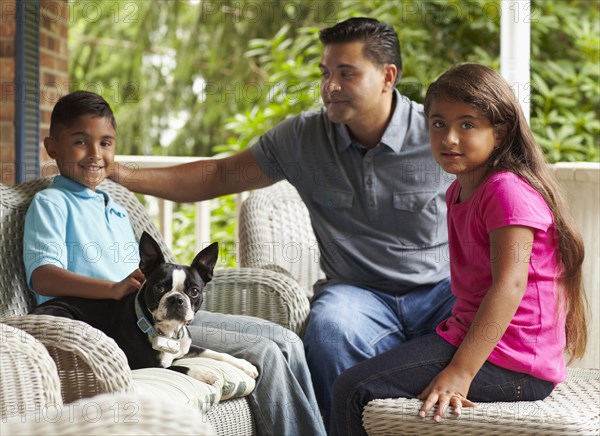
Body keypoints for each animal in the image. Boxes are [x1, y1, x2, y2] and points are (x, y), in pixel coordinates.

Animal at [30, 230, 258, 384]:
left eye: (194, 291)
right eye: (159, 287)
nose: (176, 299)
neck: (168, 332)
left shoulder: (186, 347)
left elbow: (213, 352)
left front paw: (245, 365)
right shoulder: (143, 365)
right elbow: (178, 368)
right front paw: (204, 373)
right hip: (63, 312)